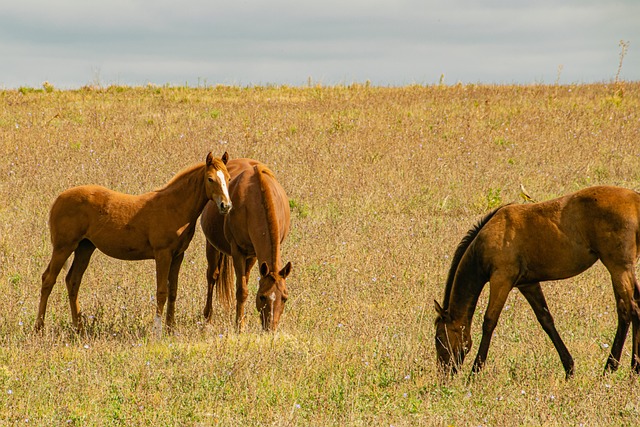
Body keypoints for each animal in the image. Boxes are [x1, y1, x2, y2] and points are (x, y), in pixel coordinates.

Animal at [33, 152, 231, 336]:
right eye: (210, 179)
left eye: (228, 178)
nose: (226, 206)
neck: (174, 207)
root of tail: (59, 199)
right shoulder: (163, 254)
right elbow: (161, 292)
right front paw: (157, 331)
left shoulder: (178, 255)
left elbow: (173, 291)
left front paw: (170, 329)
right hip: (63, 247)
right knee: (48, 279)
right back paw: (39, 328)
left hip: (85, 248)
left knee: (73, 281)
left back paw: (79, 328)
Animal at [200, 159, 292, 332]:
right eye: (262, 296)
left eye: (284, 298)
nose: (270, 329)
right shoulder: (238, 251)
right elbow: (242, 291)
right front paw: (240, 327)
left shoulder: (254, 254)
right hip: (212, 246)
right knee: (212, 276)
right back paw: (207, 318)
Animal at [436, 186, 640, 380]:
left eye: (439, 338)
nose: (443, 375)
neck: (488, 238)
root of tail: (636, 200)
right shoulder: (528, 284)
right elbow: (546, 321)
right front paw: (569, 368)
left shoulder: (501, 279)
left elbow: (489, 322)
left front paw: (474, 373)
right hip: (621, 269)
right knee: (630, 308)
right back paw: (626, 368)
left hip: (618, 267)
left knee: (630, 310)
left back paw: (620, 368)